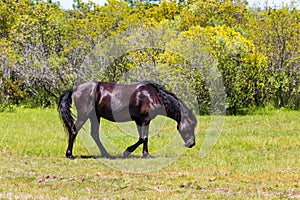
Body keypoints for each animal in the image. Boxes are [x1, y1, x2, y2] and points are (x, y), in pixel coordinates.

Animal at [58, 80, 197, 160]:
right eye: (190, 125)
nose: (192, 144)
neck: (152, 96)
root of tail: (76, 88)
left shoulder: (142, 121)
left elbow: (144, 138)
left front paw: (146, 154)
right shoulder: (144, 120)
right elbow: (143, 138)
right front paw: (127, 152)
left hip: (94, 116)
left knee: (95, 134)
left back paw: (106, 154)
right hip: (84, 115)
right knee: (74, 130)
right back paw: (69, 154)